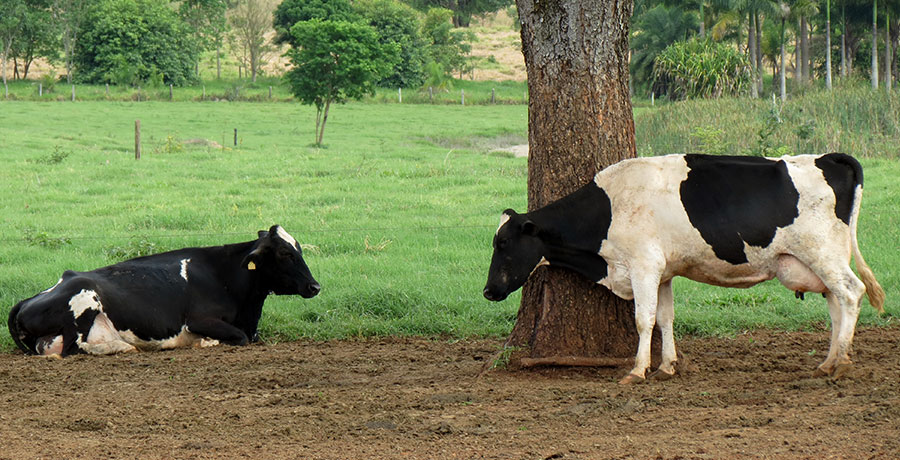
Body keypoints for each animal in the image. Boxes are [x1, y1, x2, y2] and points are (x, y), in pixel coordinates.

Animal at [8, 225, 320, 357]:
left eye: (299, 249)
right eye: (285, 253)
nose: (315, 286)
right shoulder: (199, 320)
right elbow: (240, 338)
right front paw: (205, 343)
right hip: (83, 300)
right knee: (73, 348)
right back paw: (123, 346)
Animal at [483, 153, 885, 384]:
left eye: (502, 244)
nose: (488, 291)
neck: (609, 209)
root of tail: (825, 157)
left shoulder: (644, 265)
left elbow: (643, 320)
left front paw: (637, 370)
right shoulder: (662, 272)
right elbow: (664, 318)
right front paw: (667, 366)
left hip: (823, 253)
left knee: (851, 293)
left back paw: (841, 362)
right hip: (821, 259)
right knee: (836, 304)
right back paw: (828, 361)